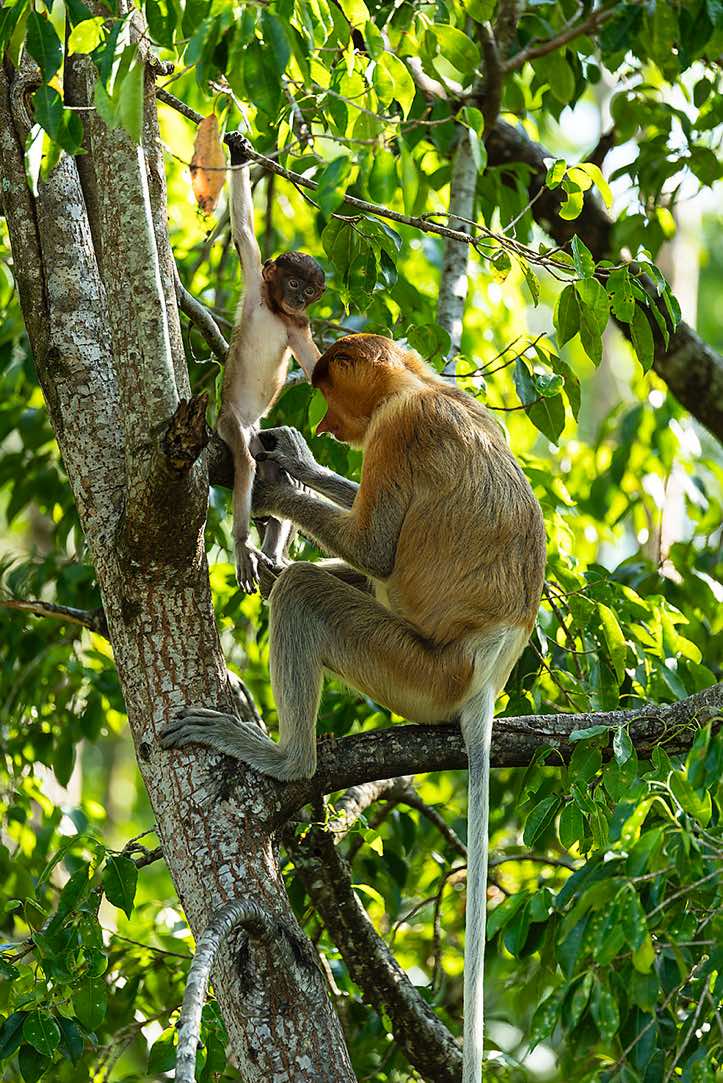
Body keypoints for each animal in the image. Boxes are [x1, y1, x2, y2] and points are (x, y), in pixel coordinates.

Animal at [162, 333, 546, 1080]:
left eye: (331, 391)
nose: (326, 429)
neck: (423, 386)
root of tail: (487, 674)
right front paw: (288, 458)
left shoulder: (401, 431)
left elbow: (376, 545)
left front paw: (271, 486)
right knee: (332, 577)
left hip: (418, 669)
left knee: (311, 591)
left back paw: (284, 755)